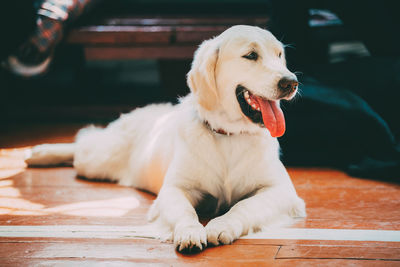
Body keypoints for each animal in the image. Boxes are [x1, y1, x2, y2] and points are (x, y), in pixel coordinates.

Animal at [25, 25, 306, 253]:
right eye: (250, 55)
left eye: (279, 56)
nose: (291, 82)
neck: (228, 135)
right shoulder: (174, 188)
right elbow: (184, 210)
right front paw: (190, 232)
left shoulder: (281, 191)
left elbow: (243, 206)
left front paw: (222, 225)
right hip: (97, 159)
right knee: (83, 141)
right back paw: (39, 152)